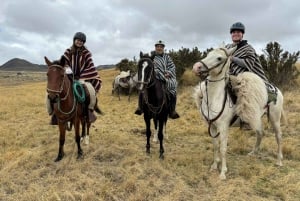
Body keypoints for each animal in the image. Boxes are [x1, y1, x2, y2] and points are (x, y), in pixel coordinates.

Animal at [193, 46, 284, 180]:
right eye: (208, 54)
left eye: (219, 58)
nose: (196, 67)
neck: (215, 97)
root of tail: (276, 89)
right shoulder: (212, 127)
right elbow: (215, 146)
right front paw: (214, 166)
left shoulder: (223, 128)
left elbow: (223, 148)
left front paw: (223, 172)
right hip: (256, 118)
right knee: (260, 133)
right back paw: (253, 153)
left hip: (275, 118)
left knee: (278, 137)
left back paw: (279, 161)